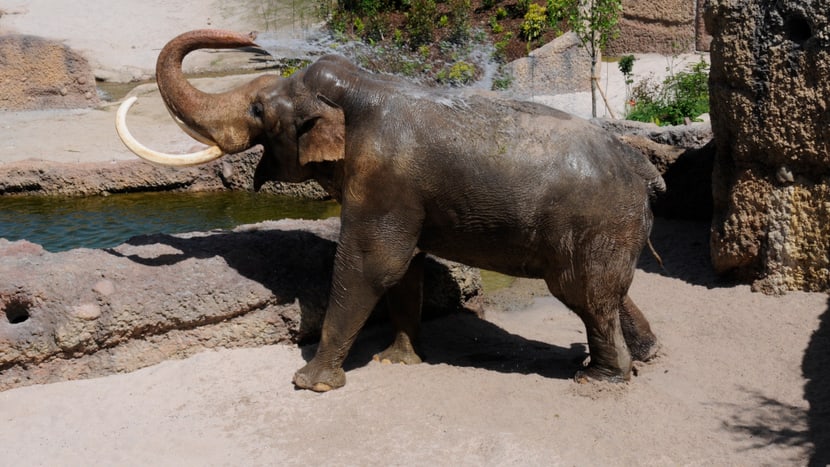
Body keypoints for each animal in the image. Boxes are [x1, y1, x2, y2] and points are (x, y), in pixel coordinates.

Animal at [116, 29, 665, 392]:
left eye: (258, 110)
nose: (250, 38)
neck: (364, 86)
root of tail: (643, 168)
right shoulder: (402, 193)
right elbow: (405, 268)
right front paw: (396, 361)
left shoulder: (382, 177)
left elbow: (370, 264)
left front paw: (309, 382)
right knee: (608, 292)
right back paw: (645, 355)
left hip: (595, 224)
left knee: (583, 292)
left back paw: (599, 379)